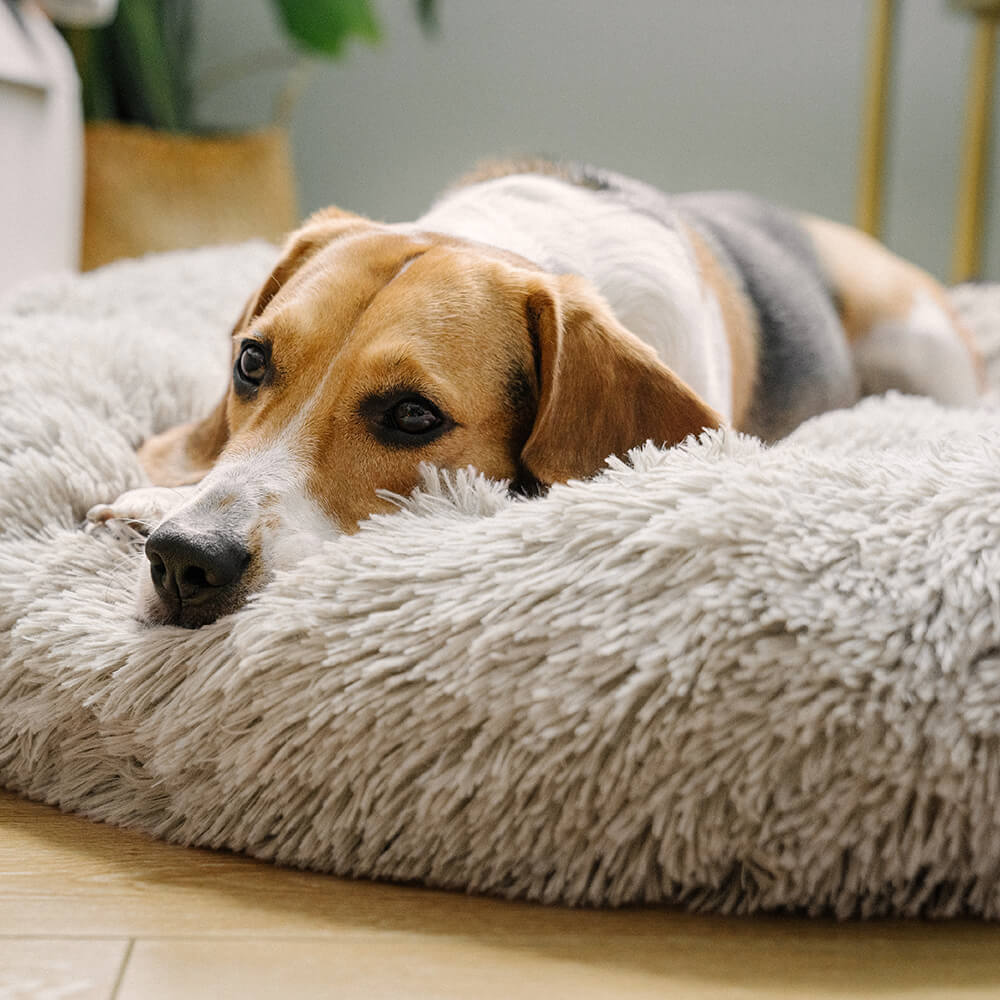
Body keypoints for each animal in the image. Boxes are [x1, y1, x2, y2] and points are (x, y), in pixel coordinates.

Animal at [88, 158, 984, 624]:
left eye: (412, 415)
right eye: (251, 363)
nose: (184, 561)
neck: (518, 246)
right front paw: (150, 499)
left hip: (921, 343)